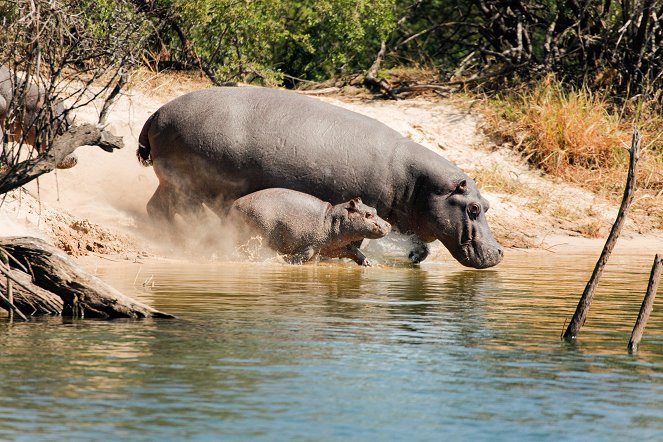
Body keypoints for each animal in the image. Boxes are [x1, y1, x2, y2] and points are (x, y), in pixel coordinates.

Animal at [231, 187, 392, 266]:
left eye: (374, 209)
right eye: (368, 214)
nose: (389, 225)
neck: (332, 219)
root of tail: (235, 204)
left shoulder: (335, 247)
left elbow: (354, 250)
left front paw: (367, 263)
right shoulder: (309, 246)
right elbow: (304, 256)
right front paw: (287, 262)